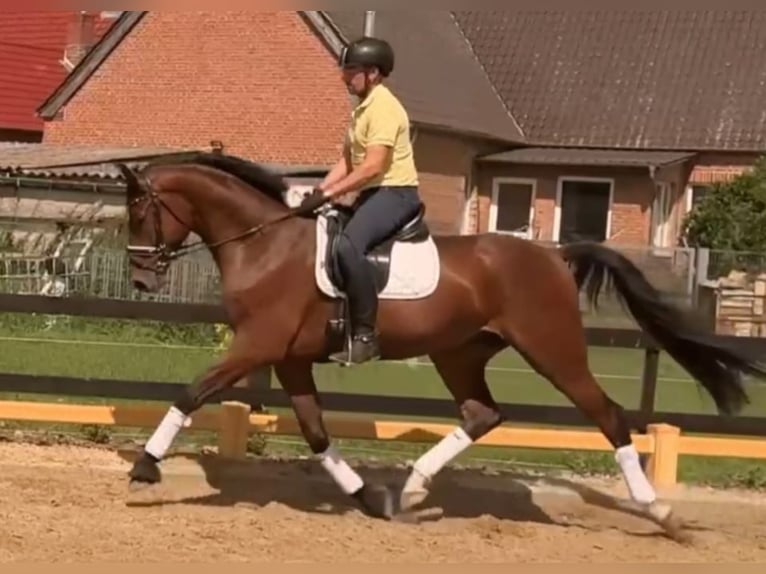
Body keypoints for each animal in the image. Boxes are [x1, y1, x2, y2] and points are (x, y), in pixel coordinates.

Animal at [115, 152, 766, 534]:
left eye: (140, 212)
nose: (141, 280)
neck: (264, 245)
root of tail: (555, 256)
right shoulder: (291, 358)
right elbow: (317, 433)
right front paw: (368, 498)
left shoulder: (256, 346)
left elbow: (192, 392)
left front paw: (146, 466)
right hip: (459, 352)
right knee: (482, 414)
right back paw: (411, 489)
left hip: (552, 349)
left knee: (606, 415)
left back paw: (658, 509)